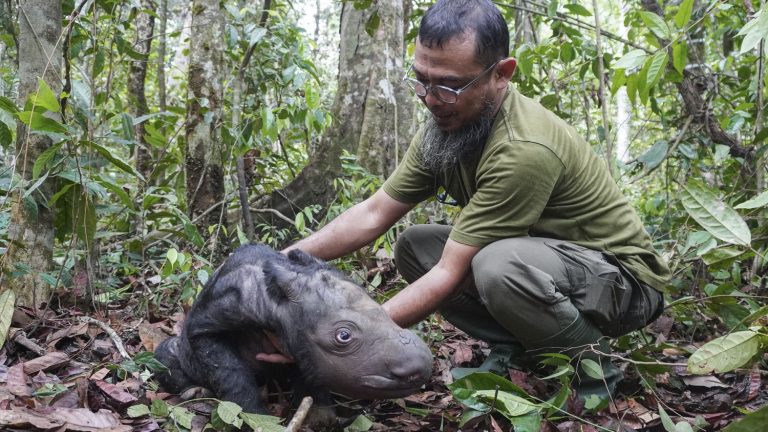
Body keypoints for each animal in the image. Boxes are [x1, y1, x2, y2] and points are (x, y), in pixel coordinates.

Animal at [153, 243, 436, 416]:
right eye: (343, 336)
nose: (419, 368)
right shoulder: (209, 321)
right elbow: (228, 371)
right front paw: (254, 416)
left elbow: (309, 374)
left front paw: (320, 416)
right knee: (165, 355)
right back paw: (193, 392)